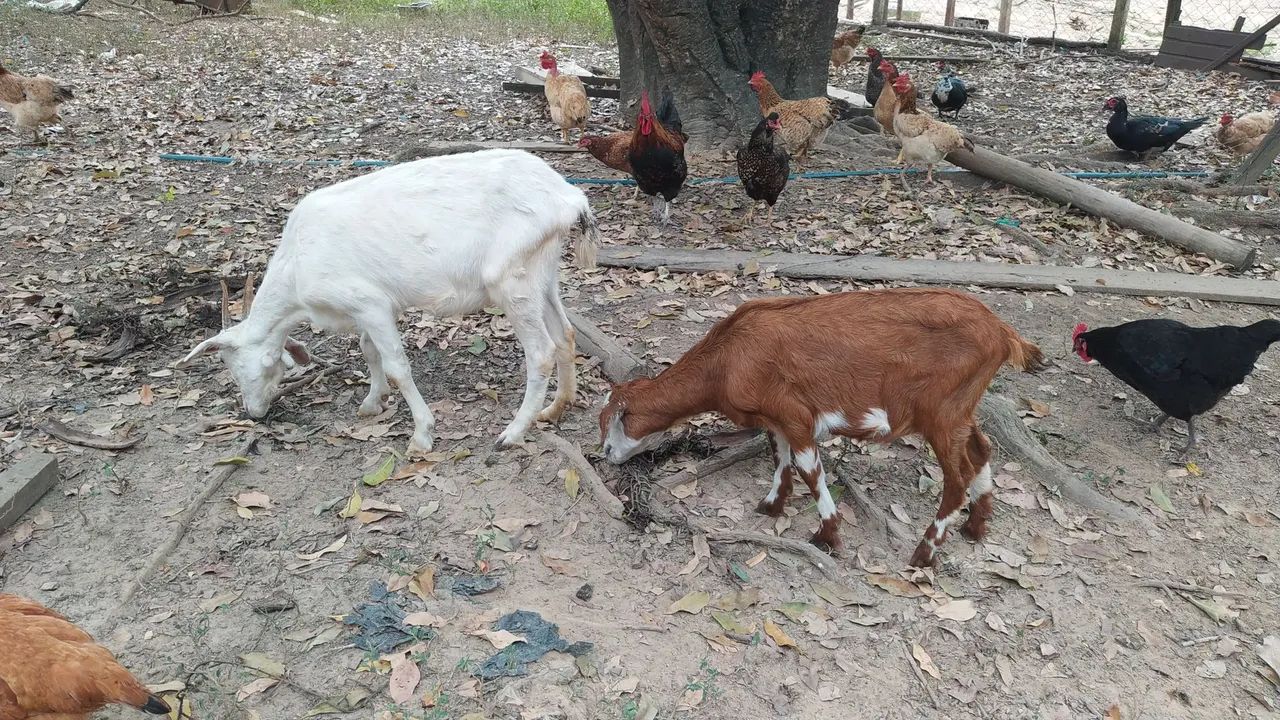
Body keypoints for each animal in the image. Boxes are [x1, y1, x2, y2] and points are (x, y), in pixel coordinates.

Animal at [181, 149, 600, 454]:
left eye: (236, 366)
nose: (254, 413)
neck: (297, 269)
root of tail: (571, 198)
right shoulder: (371, 307)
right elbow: (369, 350)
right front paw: (372, 402)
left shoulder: (369, 302)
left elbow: (398, 366)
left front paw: (422, 434)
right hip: (543, 272)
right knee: (565, 334)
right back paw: (555, 408)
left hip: (512, 281)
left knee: (542, 352)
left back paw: (511, 433)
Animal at [599, 288, 1046, 567]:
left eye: (611, 430)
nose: (606, 456)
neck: (727, 358)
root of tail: (1003, 333)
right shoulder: (774, 416)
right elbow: (780, 457)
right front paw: (771, 505)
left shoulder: (795, 413)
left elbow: (809, 469)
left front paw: (827, 536)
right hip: (962, 408)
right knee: (981, 450)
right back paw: (976, 526)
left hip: (941, 411)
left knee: (957, 477)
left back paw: (924, 555)